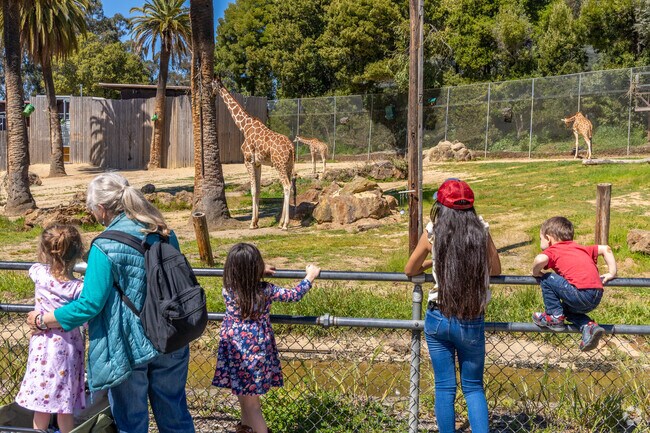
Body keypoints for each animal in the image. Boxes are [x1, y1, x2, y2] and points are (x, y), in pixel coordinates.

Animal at [212, 77, 294, 230]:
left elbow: (252, 190)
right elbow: (258, 189)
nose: (211, 94)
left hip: (279, 165)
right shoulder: (258, 163)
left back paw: (285, 224)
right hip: (289, 166)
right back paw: (281, 222)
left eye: (211, 84)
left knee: (286, 186)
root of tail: (291, 147)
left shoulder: (248, 160)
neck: (244, 126)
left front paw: (251, 223)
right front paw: (255, 222)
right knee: (289, 186)